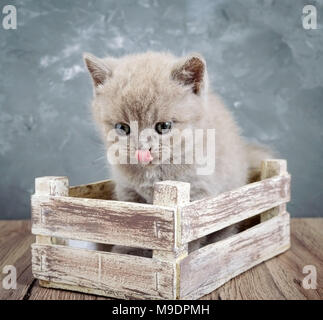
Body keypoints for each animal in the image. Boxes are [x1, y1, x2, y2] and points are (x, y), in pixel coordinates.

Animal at [83, 51, 274, 254]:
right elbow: (129, 224)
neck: (156, 173)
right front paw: (127, 253)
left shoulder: (199, 194)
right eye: (122, 128)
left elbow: (192, 234)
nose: (142, 149)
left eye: (164, 126)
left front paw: (190, 256)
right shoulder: (127, 191)